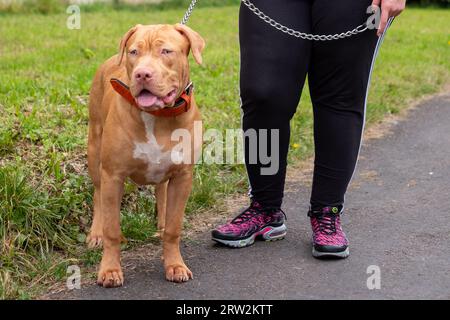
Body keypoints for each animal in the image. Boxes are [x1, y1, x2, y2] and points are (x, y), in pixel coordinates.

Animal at [86, 23, 206, 286]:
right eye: (134, 52)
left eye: (166, 51)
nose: (142, 74)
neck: (157, 117)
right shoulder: (113, 175)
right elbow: (112, 229)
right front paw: (110, 269)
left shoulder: (183, 177)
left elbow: (174, 227)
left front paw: (174, 264)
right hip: (94, 151)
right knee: (98, 195)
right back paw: (96, 233)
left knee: (161, 192)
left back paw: (160, 226)